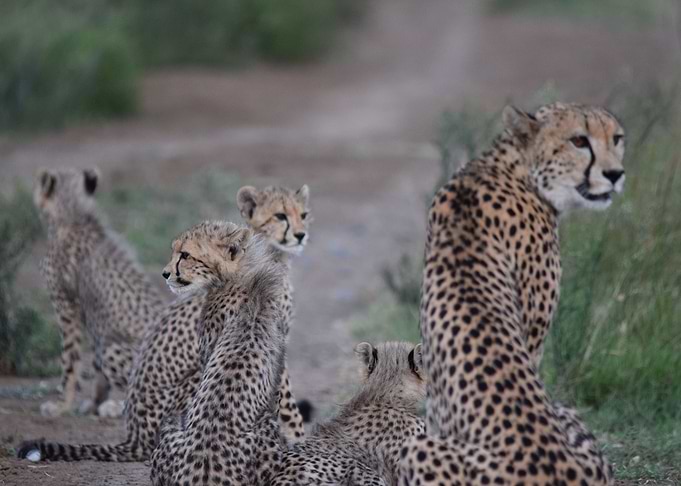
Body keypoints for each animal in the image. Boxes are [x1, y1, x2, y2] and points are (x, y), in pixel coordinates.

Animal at [31, 168, 165, 418]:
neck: (73, 213)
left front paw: (61, 405)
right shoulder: (93, 320)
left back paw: (115, 408)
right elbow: (95, 369)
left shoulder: (66, 306)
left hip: (113, 347)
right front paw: (93, 402)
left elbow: (69, 359)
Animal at [398, 103, 625, 485]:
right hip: (416, 447)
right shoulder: (533, 336)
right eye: (579, 141)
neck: (512, 166)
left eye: (617, 138)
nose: (614, 174)